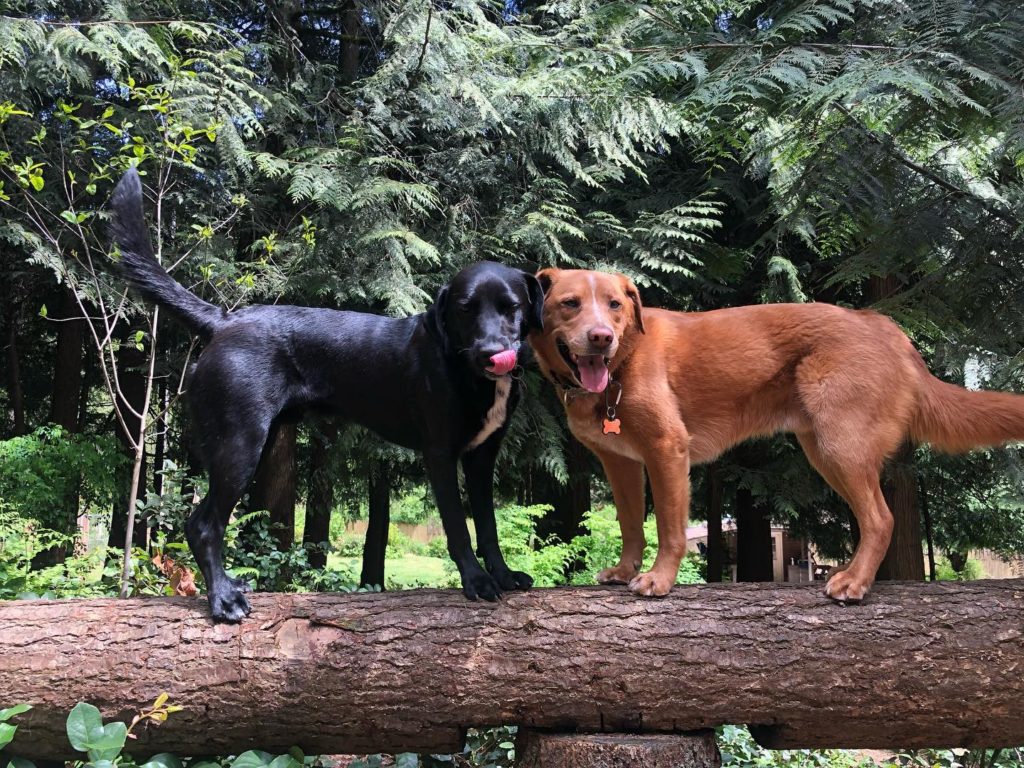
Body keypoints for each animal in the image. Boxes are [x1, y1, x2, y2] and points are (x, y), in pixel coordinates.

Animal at [109, 169, 544, 626]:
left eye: (511, 307)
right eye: (464, 309)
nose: (491, 352)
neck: (465, 369)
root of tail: (224, 320)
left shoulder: (482, 457)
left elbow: (488, 525)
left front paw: (503, 575)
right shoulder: (440, 454)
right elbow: (459, 527)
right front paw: (476, 581)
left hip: (258, 442)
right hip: (239, 445)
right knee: (203, 524)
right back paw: (223, 599)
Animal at [532, 270, 1024, 602]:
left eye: (615, 304)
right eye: (570, 303)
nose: (601, 337)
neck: (623, 362)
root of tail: (884, 326)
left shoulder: (667, 450)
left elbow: (670, 530)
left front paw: (659, 579)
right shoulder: (622, 463)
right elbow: (631, 525)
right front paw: (623, 569)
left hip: (840, 447)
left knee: (881, 519)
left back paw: (854, 582)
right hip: (824, 450)